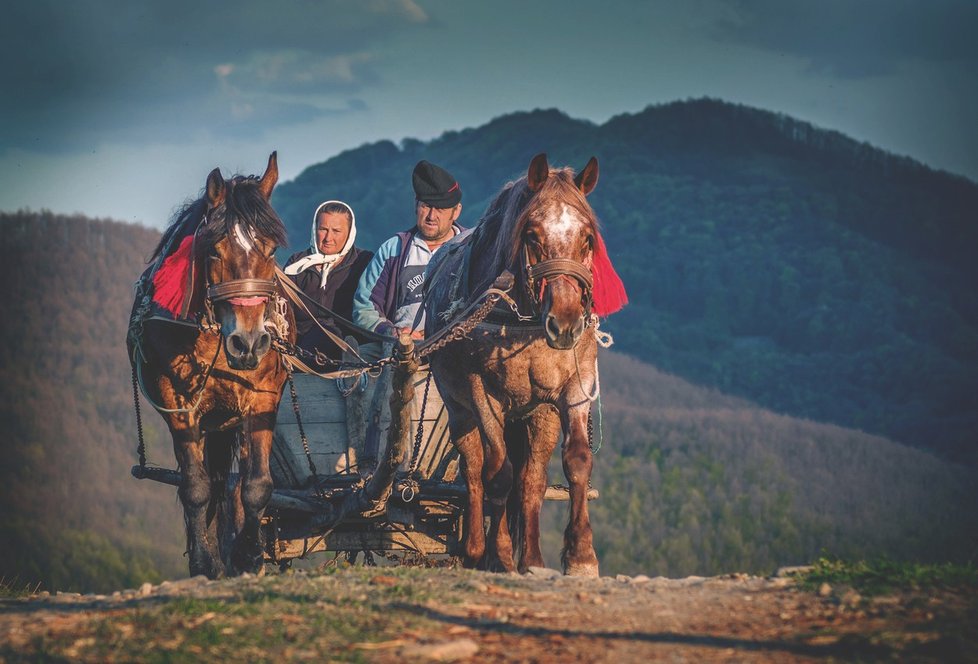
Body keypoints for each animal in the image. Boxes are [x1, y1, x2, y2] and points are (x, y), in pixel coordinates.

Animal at [127, 153, 292, 580]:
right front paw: (204, 563)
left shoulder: (263, 399)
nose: (248, 343)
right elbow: (196, 487)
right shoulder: (179, 406)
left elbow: (256, 484)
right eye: (214, 251)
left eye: (271, 250)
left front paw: (249, 556)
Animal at [426, 153, 624, 572]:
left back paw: (531, 557)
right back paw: (475, 549)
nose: (565, 324)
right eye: (532, 235)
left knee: (531, 478)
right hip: (459, 409)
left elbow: (576, 461)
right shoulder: (483, 395)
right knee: (474, 468)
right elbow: (498, 472)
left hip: (538, 414)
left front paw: (581, 556)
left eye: (587, 237)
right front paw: (498, 554)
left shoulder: (574, 387)